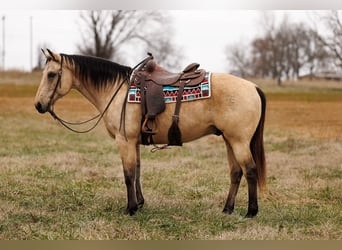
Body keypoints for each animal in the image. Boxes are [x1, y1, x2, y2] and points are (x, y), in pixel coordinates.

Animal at [33, 48, 266, 217]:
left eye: (52, 75)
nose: (38, 105)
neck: (117, 90)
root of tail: (253, 87)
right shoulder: (134, 141)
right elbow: (137, 170)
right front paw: (140, 203)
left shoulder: (124, 141)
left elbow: (128, 174)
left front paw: (130, 209)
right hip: (229, 140)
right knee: (236, 173)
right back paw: (227, 209)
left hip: (239, 142)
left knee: (250, 171)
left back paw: (251, 212)